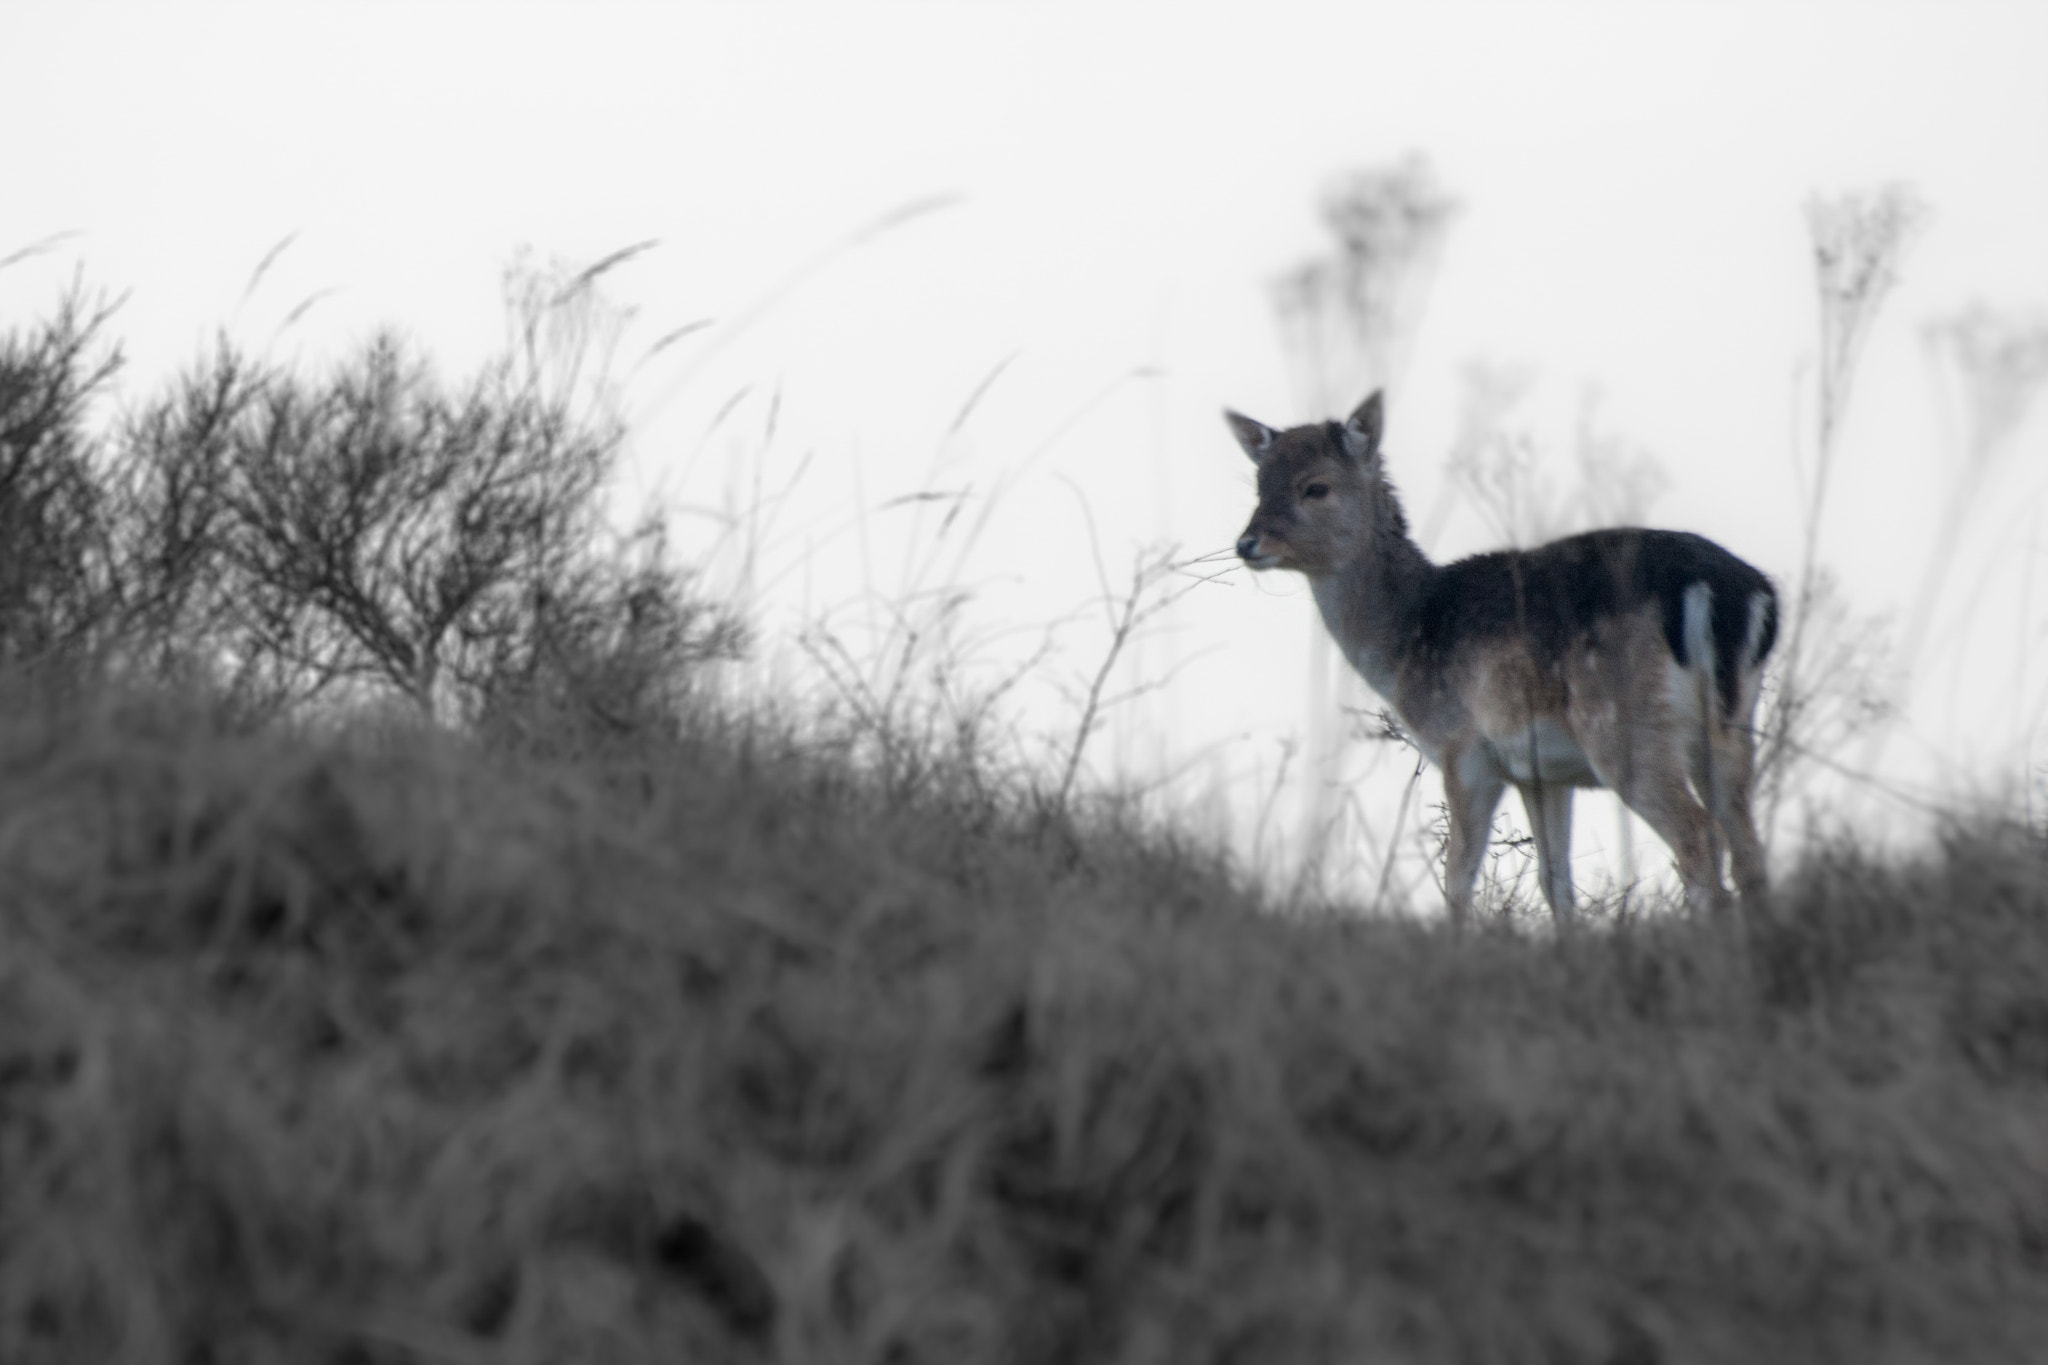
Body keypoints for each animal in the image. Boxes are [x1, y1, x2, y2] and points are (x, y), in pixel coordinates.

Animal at [1227, 390, 1777, 929]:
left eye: (1315, 487)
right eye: (1258, 485)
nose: (1246, 543)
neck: (1410, 636)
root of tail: (1735, 592)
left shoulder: (1464, 748)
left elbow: (1458, 877)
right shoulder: (1543, 772)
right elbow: (1555, 882)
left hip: (1624, 726)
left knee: (1699, 836)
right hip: (1731, 724)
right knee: (1748, 849)